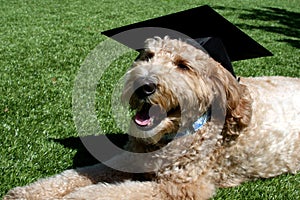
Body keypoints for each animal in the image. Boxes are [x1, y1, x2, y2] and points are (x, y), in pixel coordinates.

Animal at [5, 36, 300, 199]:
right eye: (147, 56)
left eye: (183, 65)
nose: (143, 85)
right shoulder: (126, 159)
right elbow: (75, 175)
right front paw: (27, 193)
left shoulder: (179, 188)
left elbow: (109, 193)